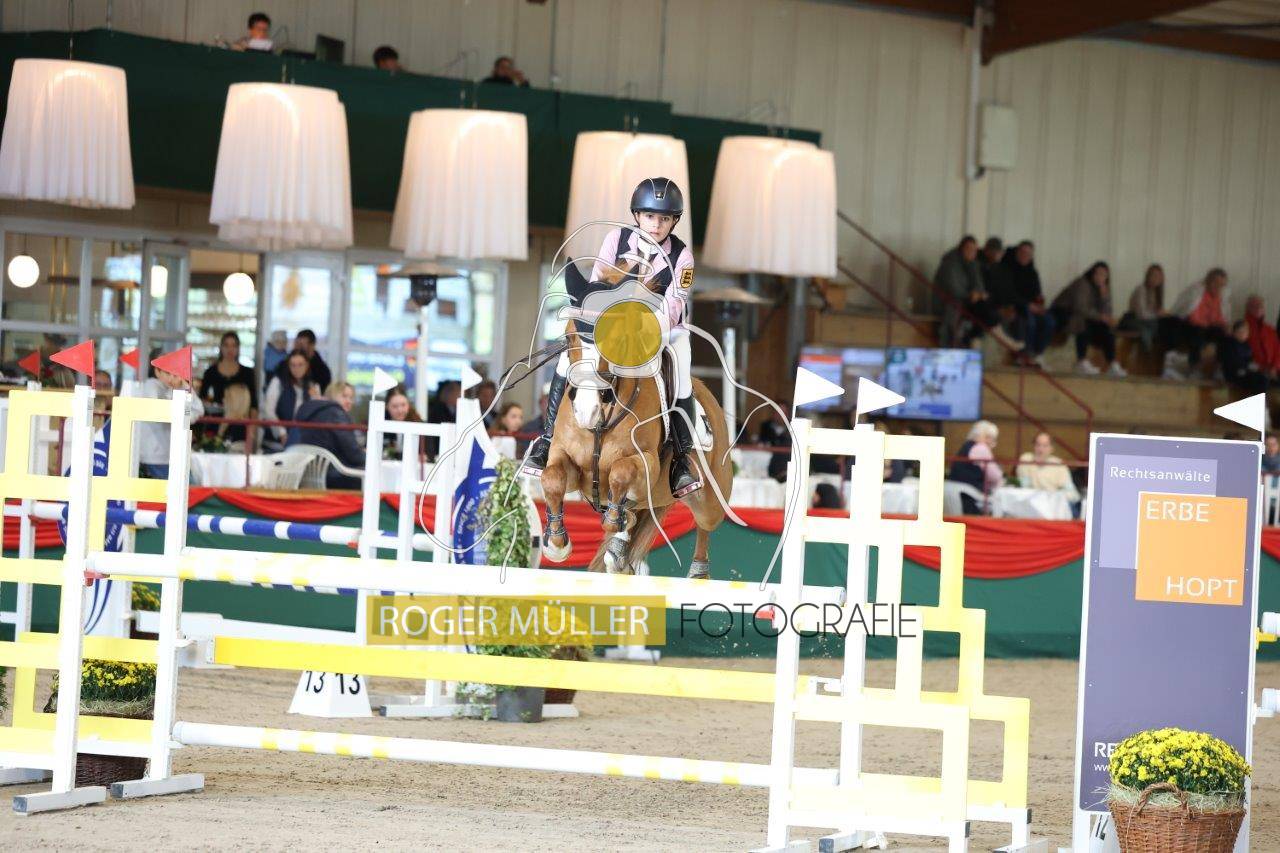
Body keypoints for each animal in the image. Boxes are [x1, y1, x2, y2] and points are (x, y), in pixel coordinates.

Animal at [538, 324, 734, 578]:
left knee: (705, 524)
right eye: (569, 339)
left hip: (710, 502)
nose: (585, 412)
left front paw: (613, 519)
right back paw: (619, 550)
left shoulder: (648, 465)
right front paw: (556, 545)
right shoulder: (567, 462)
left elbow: (621, 471)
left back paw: (698, 573)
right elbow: (552, 478)